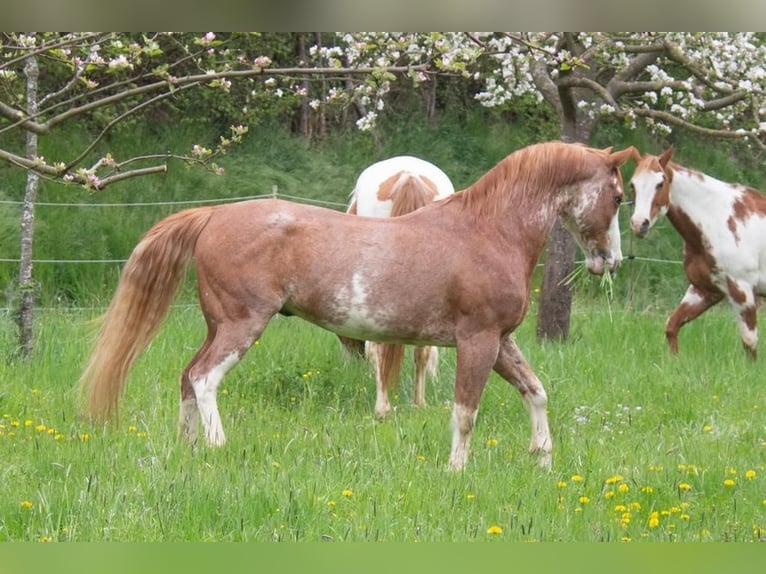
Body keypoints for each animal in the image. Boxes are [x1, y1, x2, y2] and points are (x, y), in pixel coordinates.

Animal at [340, 155, 455, 419]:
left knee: (379, 347)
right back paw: (419, 403)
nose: (353, 360)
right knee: (421, 351)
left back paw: (382, 407)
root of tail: (408, 175)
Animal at [628, 145, 766, 359]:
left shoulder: (743, 290)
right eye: (632, 185)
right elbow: (672, 326)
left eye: (660, 183)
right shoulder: (705, 290)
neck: (716, 219)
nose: (639, 224)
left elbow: (749, 343)